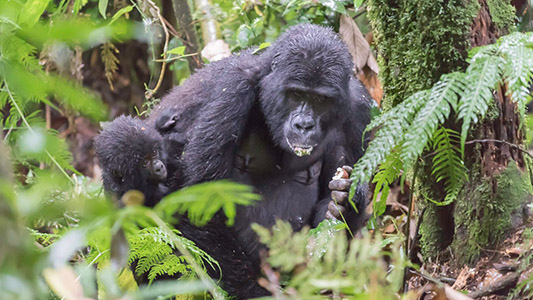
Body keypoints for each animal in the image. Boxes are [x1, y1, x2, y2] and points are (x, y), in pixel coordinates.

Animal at [143, 24, 372, 298]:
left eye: (320, 100)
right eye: (296, 94)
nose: (304, 125)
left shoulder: (359, 108)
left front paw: (344, 202)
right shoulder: (232, 89)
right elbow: (201, 205)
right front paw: (256, 291)